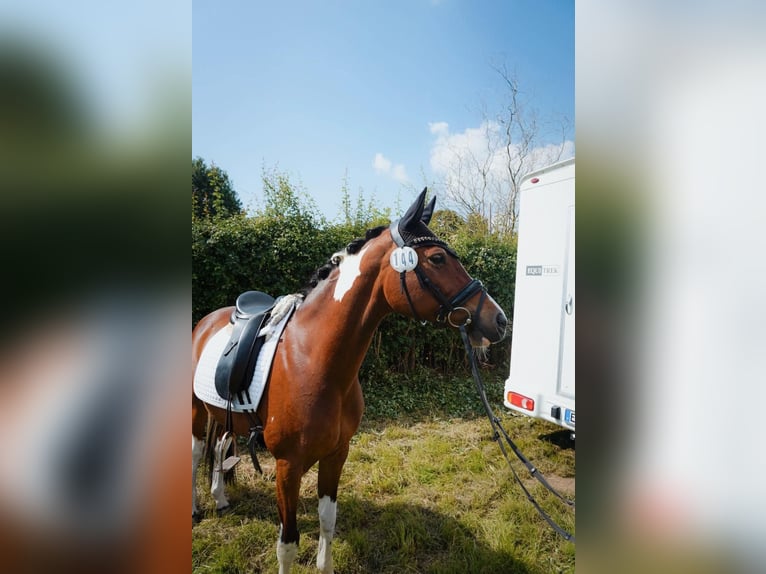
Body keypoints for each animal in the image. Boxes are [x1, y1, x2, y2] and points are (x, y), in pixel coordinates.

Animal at [190, 190, 510, 574]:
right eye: (436, 258)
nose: (499, 319)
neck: (314, 361)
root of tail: (208, 319)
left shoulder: (336, 455)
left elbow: (327, 521)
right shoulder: (287, 467)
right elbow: (287, 543)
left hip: (225, 416)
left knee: (220, 446)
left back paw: (220, 498)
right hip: (195, 411)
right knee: (196, 452)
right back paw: (196, 509)